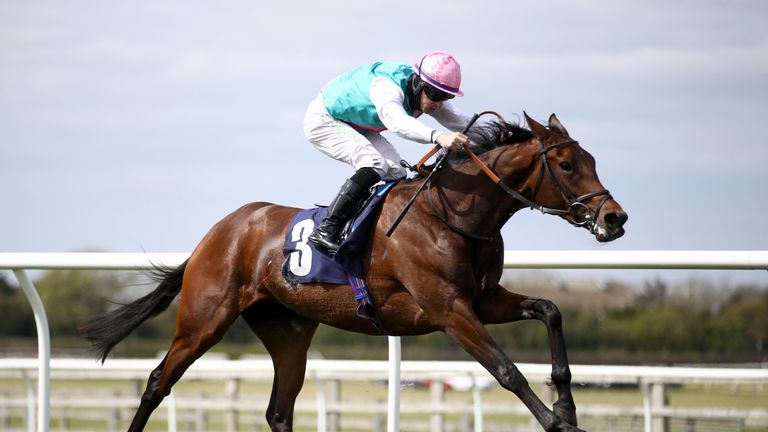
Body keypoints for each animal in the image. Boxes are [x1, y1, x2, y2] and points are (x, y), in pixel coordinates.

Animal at [79, 113, 632, 430]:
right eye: (566, 164)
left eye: (591, 159)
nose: (615, 218)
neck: (454, 213)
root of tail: (215, 234)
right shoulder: (448, 309)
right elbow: (507, 370)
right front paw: (559, 423)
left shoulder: (482, 299)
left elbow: (551, 309)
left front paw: (567, 405)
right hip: (204, 320)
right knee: (157, 382)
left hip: (288, 331)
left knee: (279, 409)